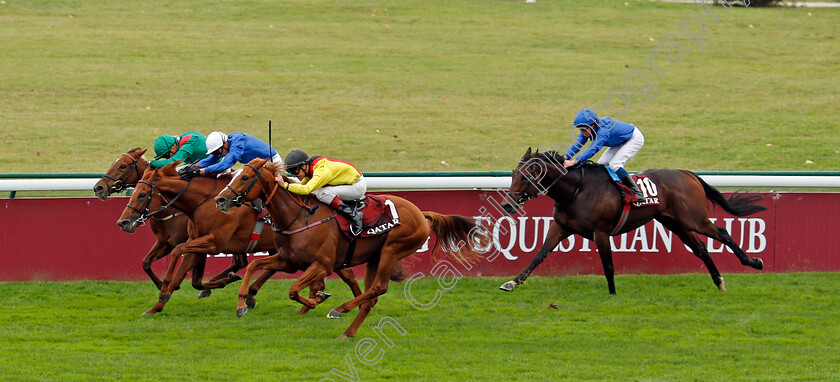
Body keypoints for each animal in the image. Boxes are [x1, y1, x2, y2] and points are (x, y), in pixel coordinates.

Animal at [115, 163, 360, 314]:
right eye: (133, 192)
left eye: (142, 195)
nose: (123, 222)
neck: (203, 202)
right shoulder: (197, 241)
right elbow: (189, 274)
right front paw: (157, 304)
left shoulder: (213, 242)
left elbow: (180, 255)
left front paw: (165, 288)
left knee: (343, 273)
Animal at [213, 157, 482, 338]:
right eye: (235, 175)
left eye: (245, 177)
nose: (220, 199)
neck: (299, 216)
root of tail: (420, 213)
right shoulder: (289, 260)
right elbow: (255, 266)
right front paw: (241, 305)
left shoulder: (323, 264)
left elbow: (293, 290)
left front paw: (317, 299)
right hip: (376, 257)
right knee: (371, 296)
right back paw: (348, 331)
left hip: (392, 249)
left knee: (379, 288)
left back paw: (339, 309)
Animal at [498, 148, 768, 294]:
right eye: (512, 174)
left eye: (525, 177)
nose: (507, 205)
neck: (577, 190)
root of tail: (687, 173)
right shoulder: (561, 227)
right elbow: (538, 255)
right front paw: (512, 282)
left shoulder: (601, 232)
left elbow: (608, 266)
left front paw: (612, 295)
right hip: (676, 223)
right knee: (701, 249)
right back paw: (719, 282)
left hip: (694, 219)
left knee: (722, 232)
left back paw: (753, 262)